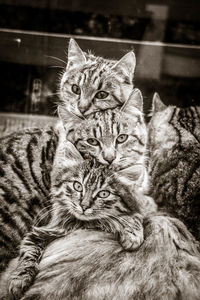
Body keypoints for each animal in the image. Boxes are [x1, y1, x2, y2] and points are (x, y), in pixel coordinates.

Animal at [8, 141, 156, 300]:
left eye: (104, 194)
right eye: (77, 186)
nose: (84, 206)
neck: (82, 223)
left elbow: (129, 215)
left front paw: (132, 233)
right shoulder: (41, 232)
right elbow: (28, 254)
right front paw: (19, 280)